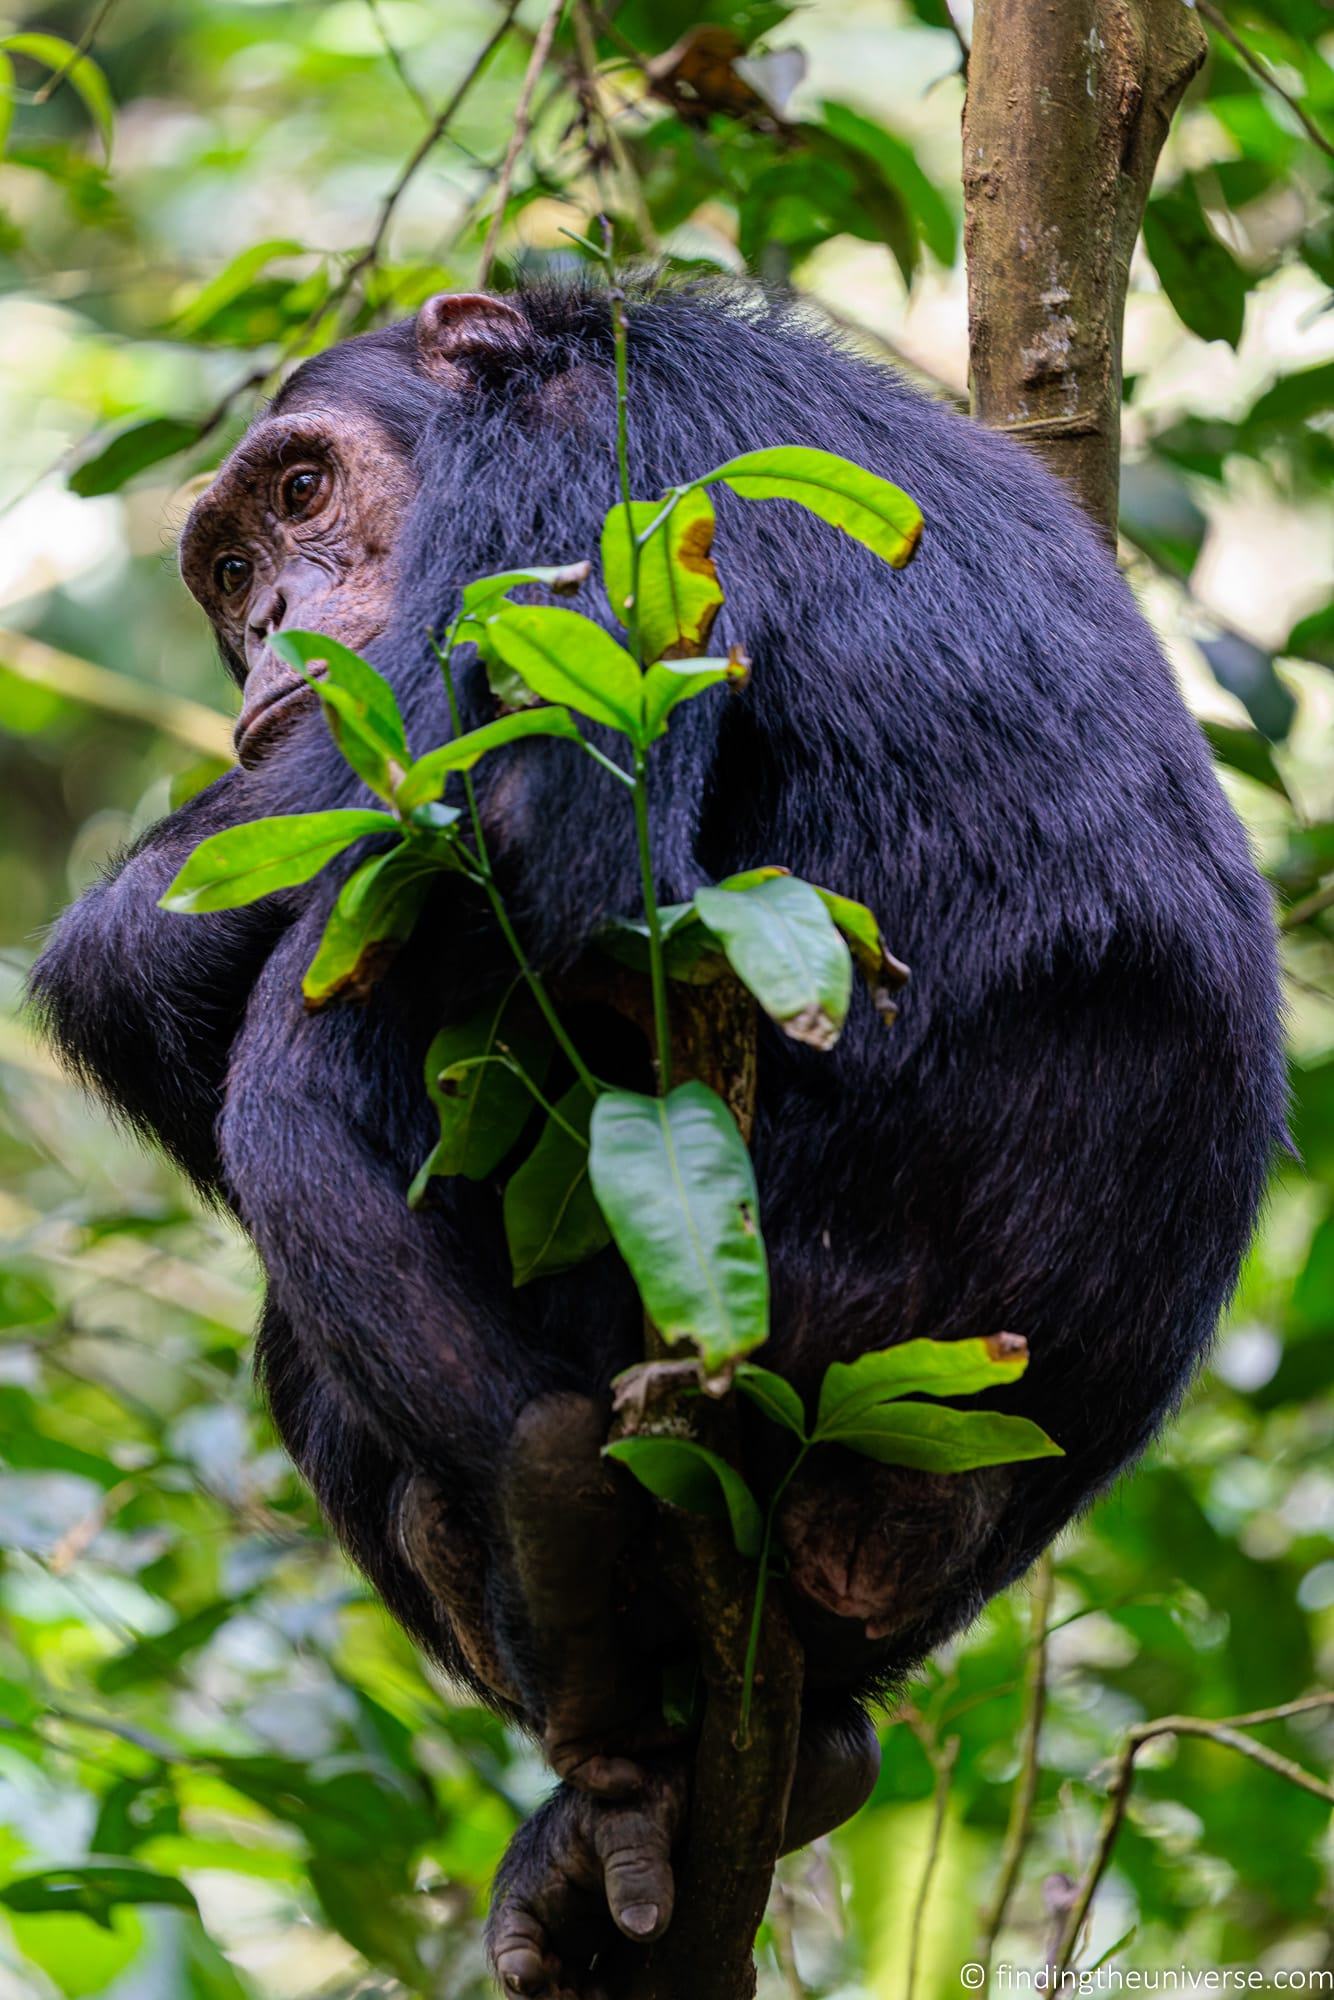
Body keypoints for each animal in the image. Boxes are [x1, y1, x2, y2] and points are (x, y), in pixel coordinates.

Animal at [28, 286, 1280, 2000]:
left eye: (299, 489)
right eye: (227, 570)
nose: (276, 608)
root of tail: (901, 1523)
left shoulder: (570, 495)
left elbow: (507, 837)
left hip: (791, 1326)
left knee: (302, 1065)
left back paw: (575, 1561)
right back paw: (713, 1785)